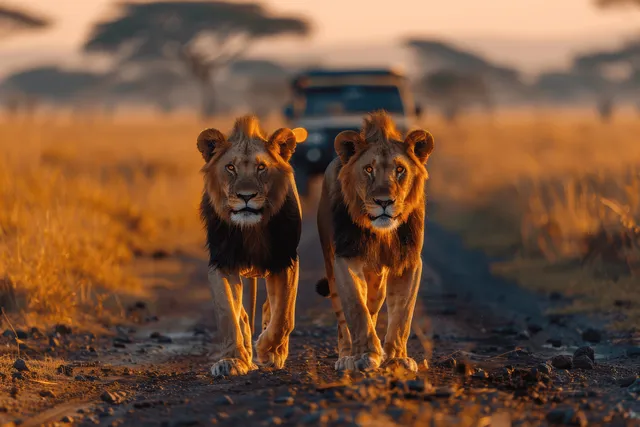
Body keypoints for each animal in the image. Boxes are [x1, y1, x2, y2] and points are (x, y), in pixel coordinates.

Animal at [196, 115, 307, 378]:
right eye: (230, 167)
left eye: (261, 167)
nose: (246, 196)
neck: (250, 229)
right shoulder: (222, 263)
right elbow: (228, 314)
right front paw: (233, 360)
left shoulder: (285, 260)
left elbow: (284, 316)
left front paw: (268, 351)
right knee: (244, 315)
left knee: (272, 307)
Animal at [315, 110, 434, 373]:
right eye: (368, 169)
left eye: (400, 169)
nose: (384, 202)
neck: (381, 233)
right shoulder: (345, 257)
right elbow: (356, 309)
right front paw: (365, 354)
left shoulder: (409, 260)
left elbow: (402, 314)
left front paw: (397, 358)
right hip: (330, 264)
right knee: (343, 319)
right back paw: (346, 356)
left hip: (377, 280)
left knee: (374, 305)